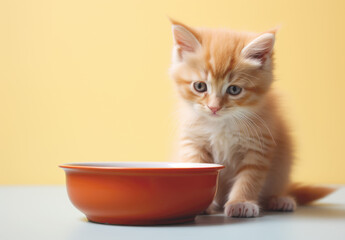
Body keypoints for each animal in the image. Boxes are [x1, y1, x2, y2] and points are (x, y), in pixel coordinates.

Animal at [169, 19, 334, 217]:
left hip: (281, 171)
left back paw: (279, 200)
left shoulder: (258, 146)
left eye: (234, 89)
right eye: (200, 86)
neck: (222, 125)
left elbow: (249, 178)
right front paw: (202, 204)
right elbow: (198, 168)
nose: (214, 107)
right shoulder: (193, 142)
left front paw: (240, 202)